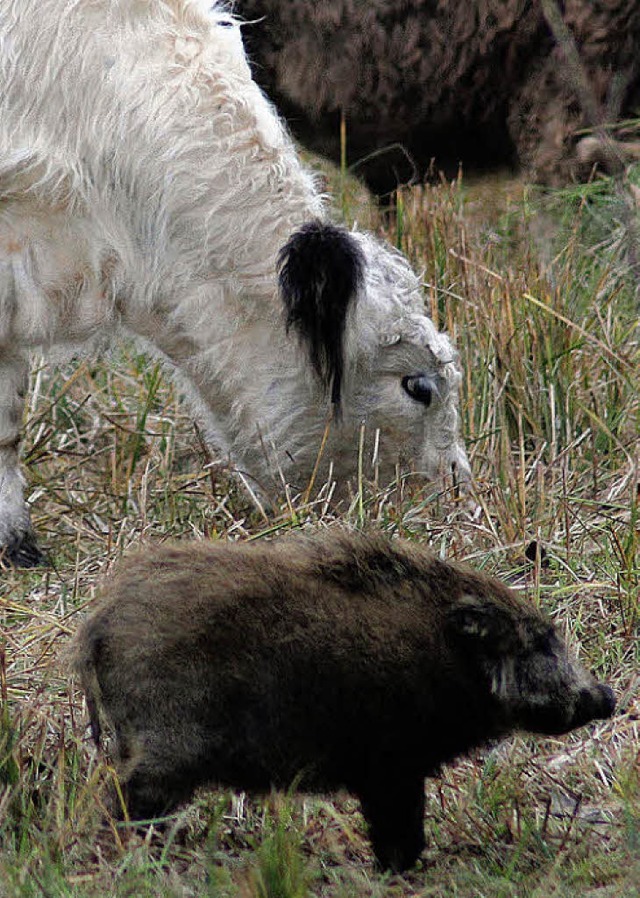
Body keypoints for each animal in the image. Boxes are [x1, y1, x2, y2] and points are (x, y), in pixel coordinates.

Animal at [70, 528, 616, 872]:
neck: (449, 664)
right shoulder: (392, 766)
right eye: (542, 641)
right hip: (170, 743)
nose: (608, 696)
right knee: (125, 800)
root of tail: (97, 624)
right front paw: (403, 871)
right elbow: (399, 828)